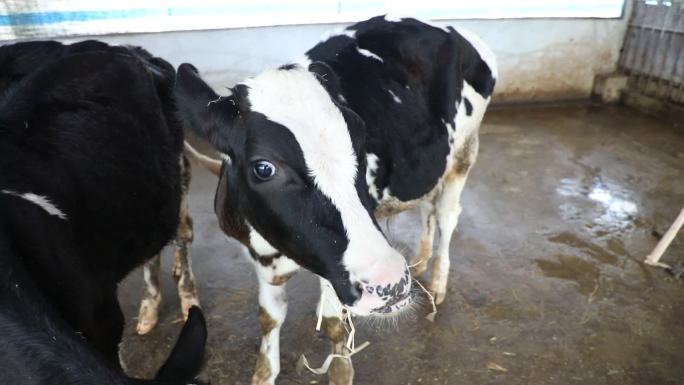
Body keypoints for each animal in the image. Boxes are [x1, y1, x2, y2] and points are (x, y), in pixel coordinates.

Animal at [171, 15, 494, 384]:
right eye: (264, 168)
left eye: (361, 137)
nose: (391, 283)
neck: (278, 249)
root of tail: (448, 28)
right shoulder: (260, 256)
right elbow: (269, 317)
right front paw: (264, 372)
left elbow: (334, 325)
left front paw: (340, 369)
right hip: (431, 165)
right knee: (427, 207)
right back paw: (421, 260)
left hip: (464, 152)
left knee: (447, 215)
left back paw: (438, 279)